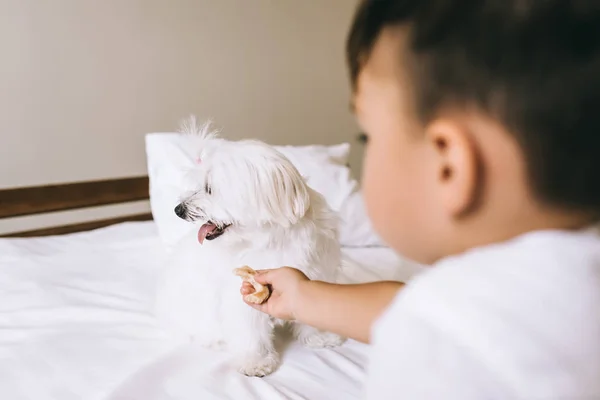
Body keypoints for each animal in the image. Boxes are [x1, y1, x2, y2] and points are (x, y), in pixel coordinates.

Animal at [157, 116, 344, 378]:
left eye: (209, 189)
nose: (178, 210)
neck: (269, 238)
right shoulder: (240, 295)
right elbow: (249, 330)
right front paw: (255, 361)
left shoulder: (316, 274)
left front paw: (320, 337)